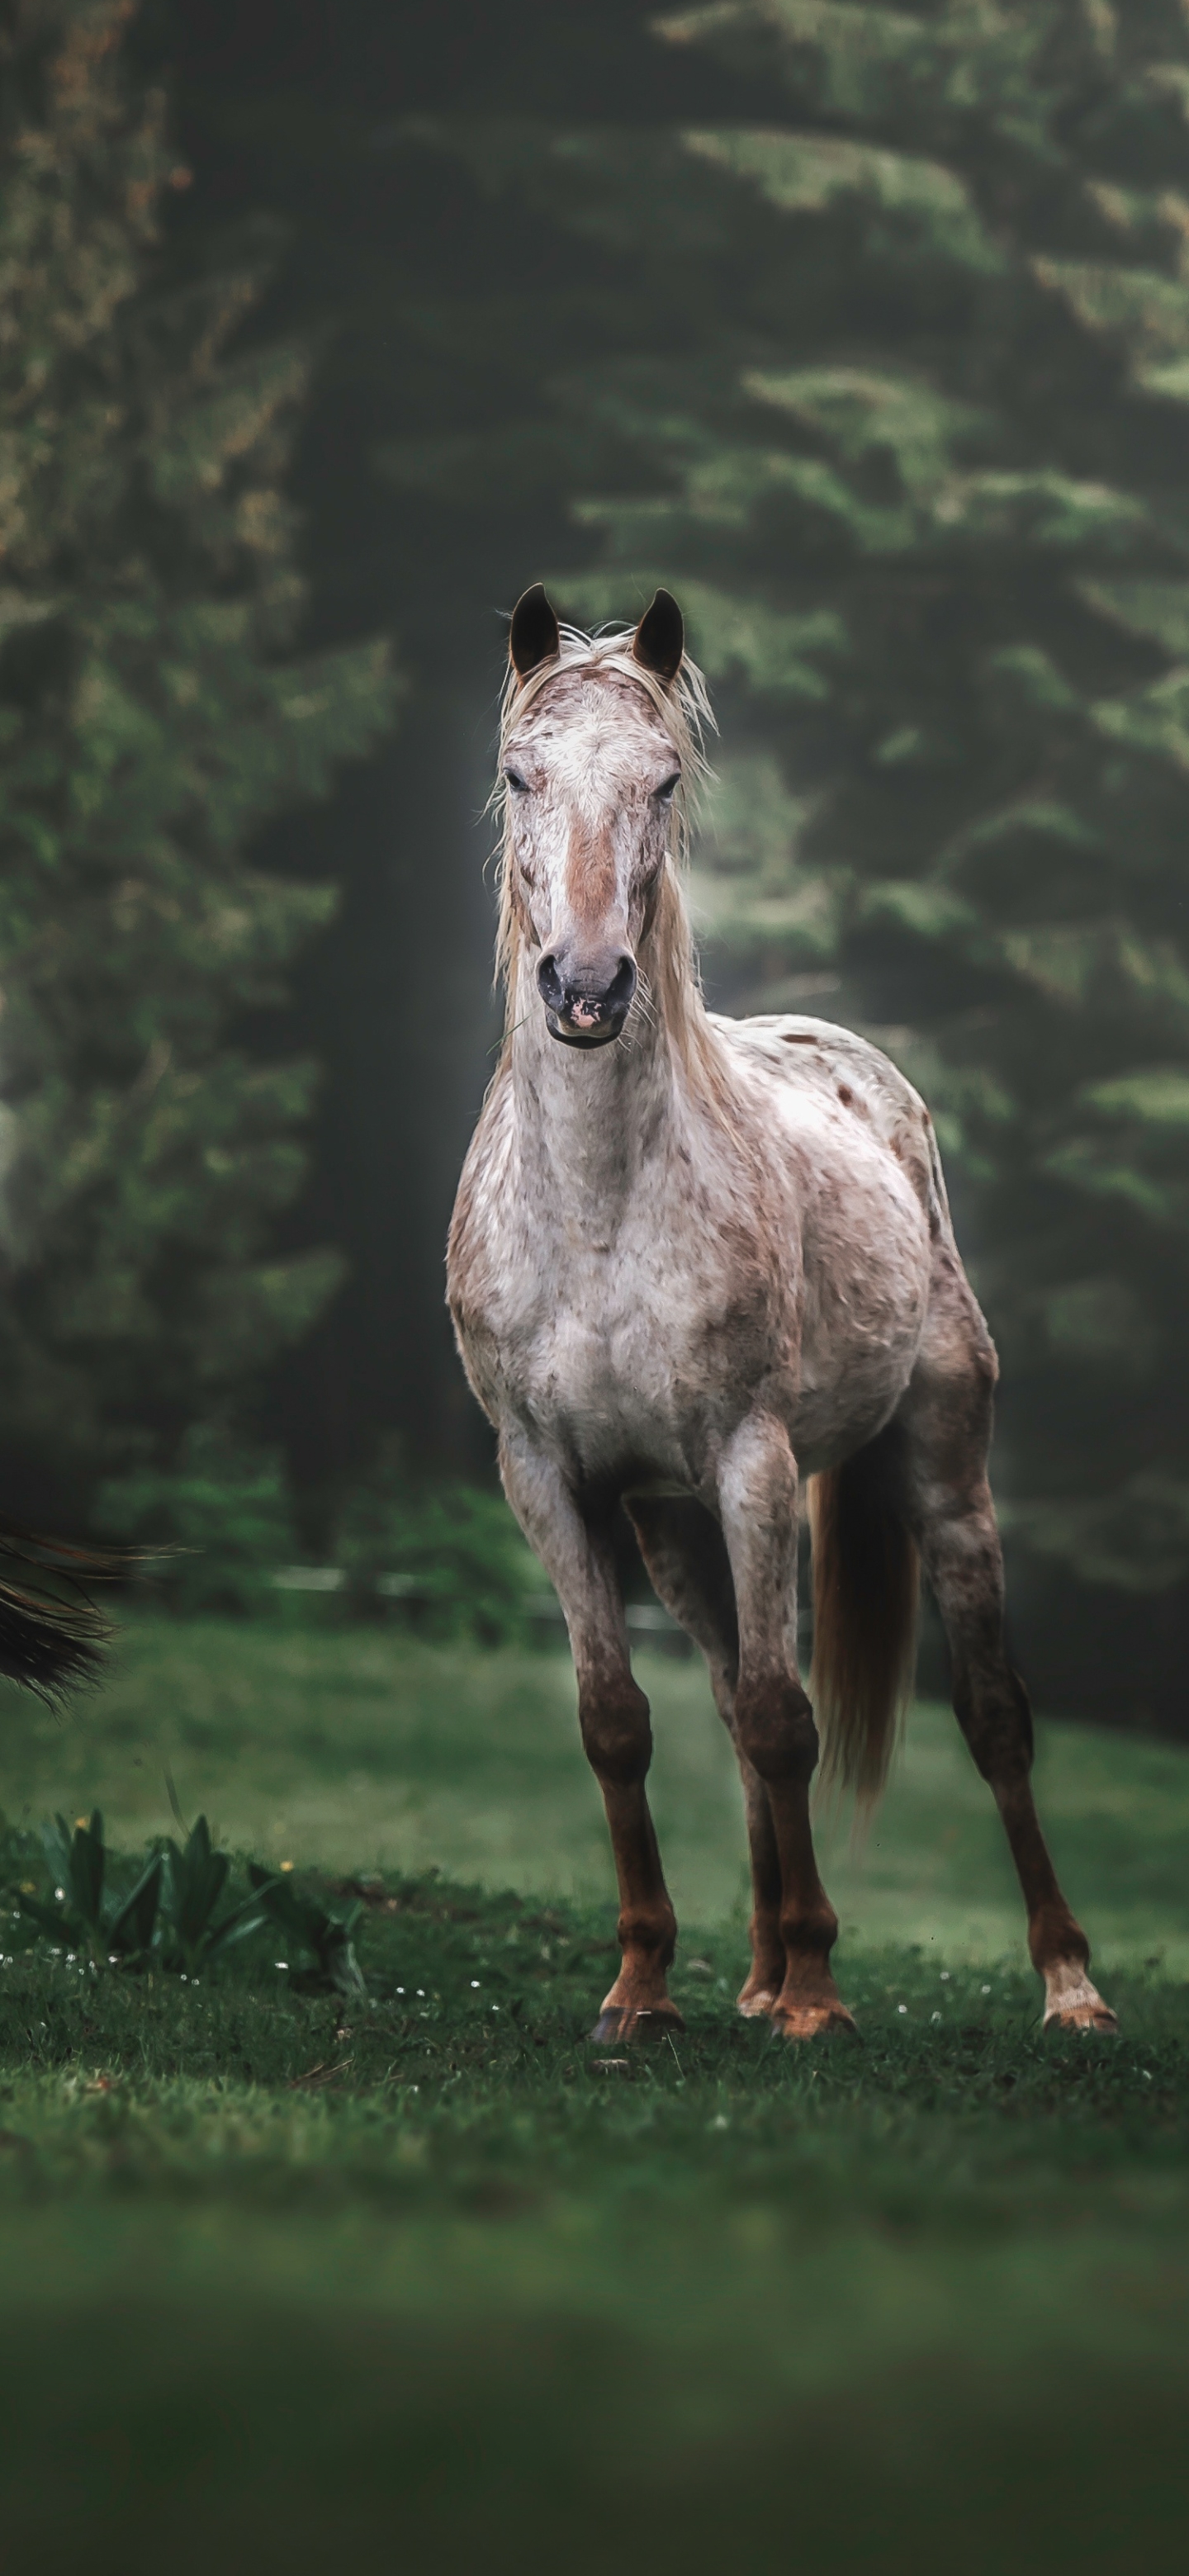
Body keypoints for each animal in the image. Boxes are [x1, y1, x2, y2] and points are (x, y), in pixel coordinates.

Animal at [450, 580, 1116, 2029]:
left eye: (664, 777)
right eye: (519, 773)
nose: (589, 989)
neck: (597, 1208)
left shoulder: (751, 1459)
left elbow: (783, 1717)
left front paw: (818, 1983)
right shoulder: (548, 1477)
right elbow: (620, 1721)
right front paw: (643, 1984)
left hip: (941, 1476)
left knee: (990, 1717)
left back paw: (1065, 1984)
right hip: (670, 1523)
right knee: (715, 1696)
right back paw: (749, 1977)